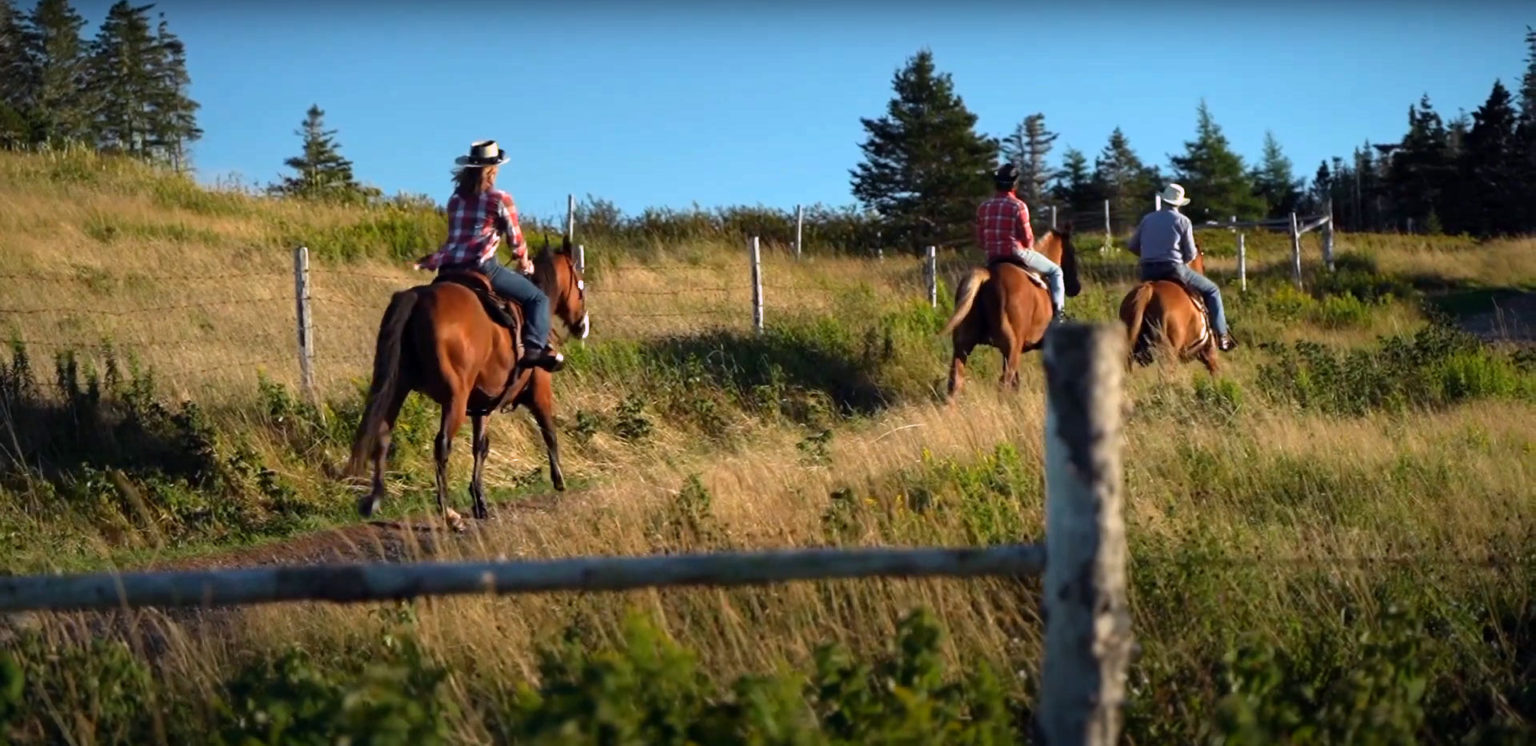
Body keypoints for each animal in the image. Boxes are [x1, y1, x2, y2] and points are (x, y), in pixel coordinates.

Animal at [345, 237, 589, 531]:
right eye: (580, 285)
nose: (582, 326)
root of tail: (418, 297)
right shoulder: (540, 392)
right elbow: (548, 431)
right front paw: (559, 479)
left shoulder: (482, 405)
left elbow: (480, 448)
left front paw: (479, 501)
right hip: (455, 399)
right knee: (441, 446)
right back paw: (449, 514)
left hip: (398, 388)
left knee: (383, 434)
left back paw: (374, 499)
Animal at [933, 227, 1081, 399]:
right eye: (1072, 251)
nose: (1076, 288)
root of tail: (988, 275)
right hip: (1011, 349)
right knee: (1003, 383)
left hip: (963, 346)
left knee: (955, 382)